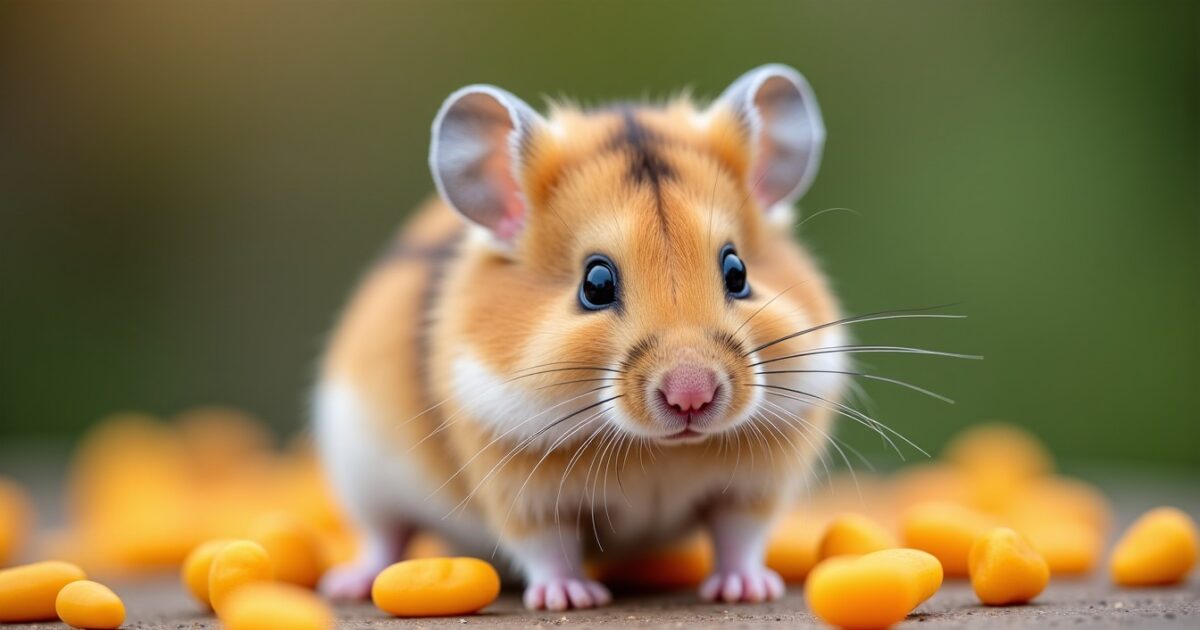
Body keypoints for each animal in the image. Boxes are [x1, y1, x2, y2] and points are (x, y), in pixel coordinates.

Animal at [314, 64, 850, 610]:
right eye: (596, 284)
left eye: (737, 272)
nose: (691, 398)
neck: (656, 450)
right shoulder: (523, 493)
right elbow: (548, 548)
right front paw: (569, 599)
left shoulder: (755, 487)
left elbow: (739, 537)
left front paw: (747, 591)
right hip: (362, 475)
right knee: (385, 534)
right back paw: (349, 583)